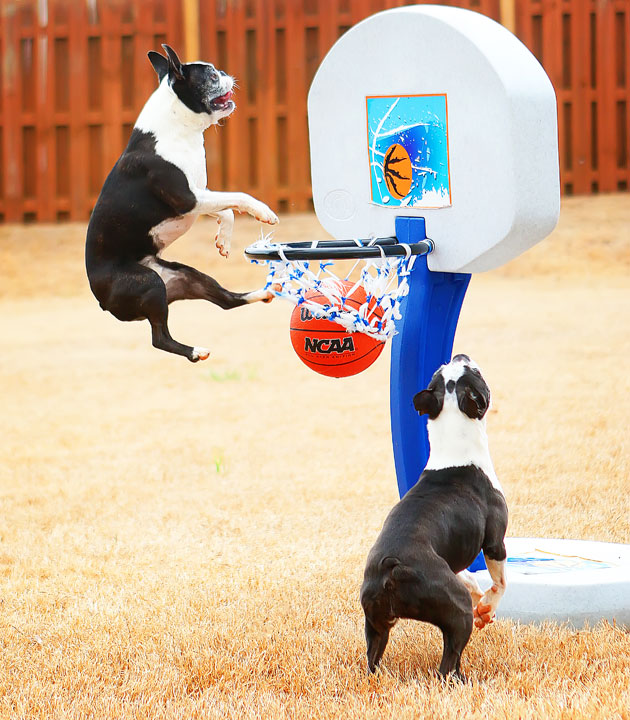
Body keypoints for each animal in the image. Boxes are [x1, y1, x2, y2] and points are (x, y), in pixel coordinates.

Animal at [86, 44, 278, 360]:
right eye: (211, 76)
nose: (226, 72)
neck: (178, 129)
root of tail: (101, 300)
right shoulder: (188, 198)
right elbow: (238, 197)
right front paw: (263, 211)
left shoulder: (201, 194)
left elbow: (227, 211)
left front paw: (223, 241)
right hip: (149, 284)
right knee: (159, 338)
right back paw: (195, 351)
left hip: (188, 276)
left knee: (226, 301)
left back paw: (261, 293)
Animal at [360, 354, 508, 680]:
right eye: (476, 372)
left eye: (438, 373)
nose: (459, 355)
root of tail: (391, 567)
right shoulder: (495, 542)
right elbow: (501, 582)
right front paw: (488, 608)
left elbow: (469, 577)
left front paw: (480, 600)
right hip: (456, 611)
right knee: (448, 663)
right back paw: (464, 681)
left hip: (375, 623)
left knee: (373, 656)